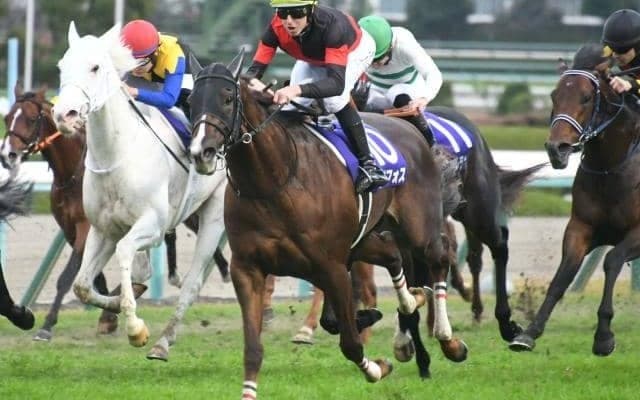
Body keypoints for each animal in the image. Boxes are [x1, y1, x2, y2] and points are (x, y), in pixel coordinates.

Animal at [2, 85, 230, 348]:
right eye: (7, 118)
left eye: (30, 118)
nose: (8, 155)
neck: (72, 173)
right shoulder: (74, 229)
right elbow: (91, 277)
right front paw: (109, 313)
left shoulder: (87, 228)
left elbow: (66, 278)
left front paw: (47, 326)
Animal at [51, 22, 227, 355]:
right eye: (61, 66)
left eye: (95, 67)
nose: (64, 115)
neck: (116, 155)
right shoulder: (103, 228)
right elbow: (82, 285)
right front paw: (117, 305)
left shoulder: (153, 225)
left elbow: (124, 252)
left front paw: (135, 329)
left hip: (216, 213)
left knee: (194, 282)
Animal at [188, 51, 468, 399]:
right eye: (190, 101)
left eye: (227, 98)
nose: (201, 152)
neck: (275, 181)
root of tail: (408, 125)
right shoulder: (247, 269)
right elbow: (254, 348)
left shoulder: (331, 267)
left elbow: (350, 343)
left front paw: (377, 367)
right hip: (363, 239)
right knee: (392, 254)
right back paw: (410, 302)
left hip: (419, 229)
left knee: (438, 259)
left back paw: (449, 339)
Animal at [510, 43, 638, 355]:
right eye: (554, 95)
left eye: (587, 97)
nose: (557, 148)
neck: (611, 167)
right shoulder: (581, 227)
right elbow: (563, 275)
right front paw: (529, 332)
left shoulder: (638, 232)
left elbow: (612, 260)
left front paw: (603, 336)